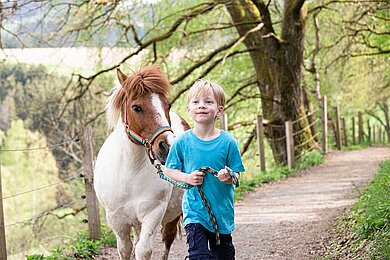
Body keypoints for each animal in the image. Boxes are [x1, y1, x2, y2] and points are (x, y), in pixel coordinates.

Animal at [93, 66, 190, 258]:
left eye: (168, 105)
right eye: (136, 107)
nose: (168, 146)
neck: (130, 171)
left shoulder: (153, 213)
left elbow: (143, 250)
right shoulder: (117, 220)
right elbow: (125, 249)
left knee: (168, 239)